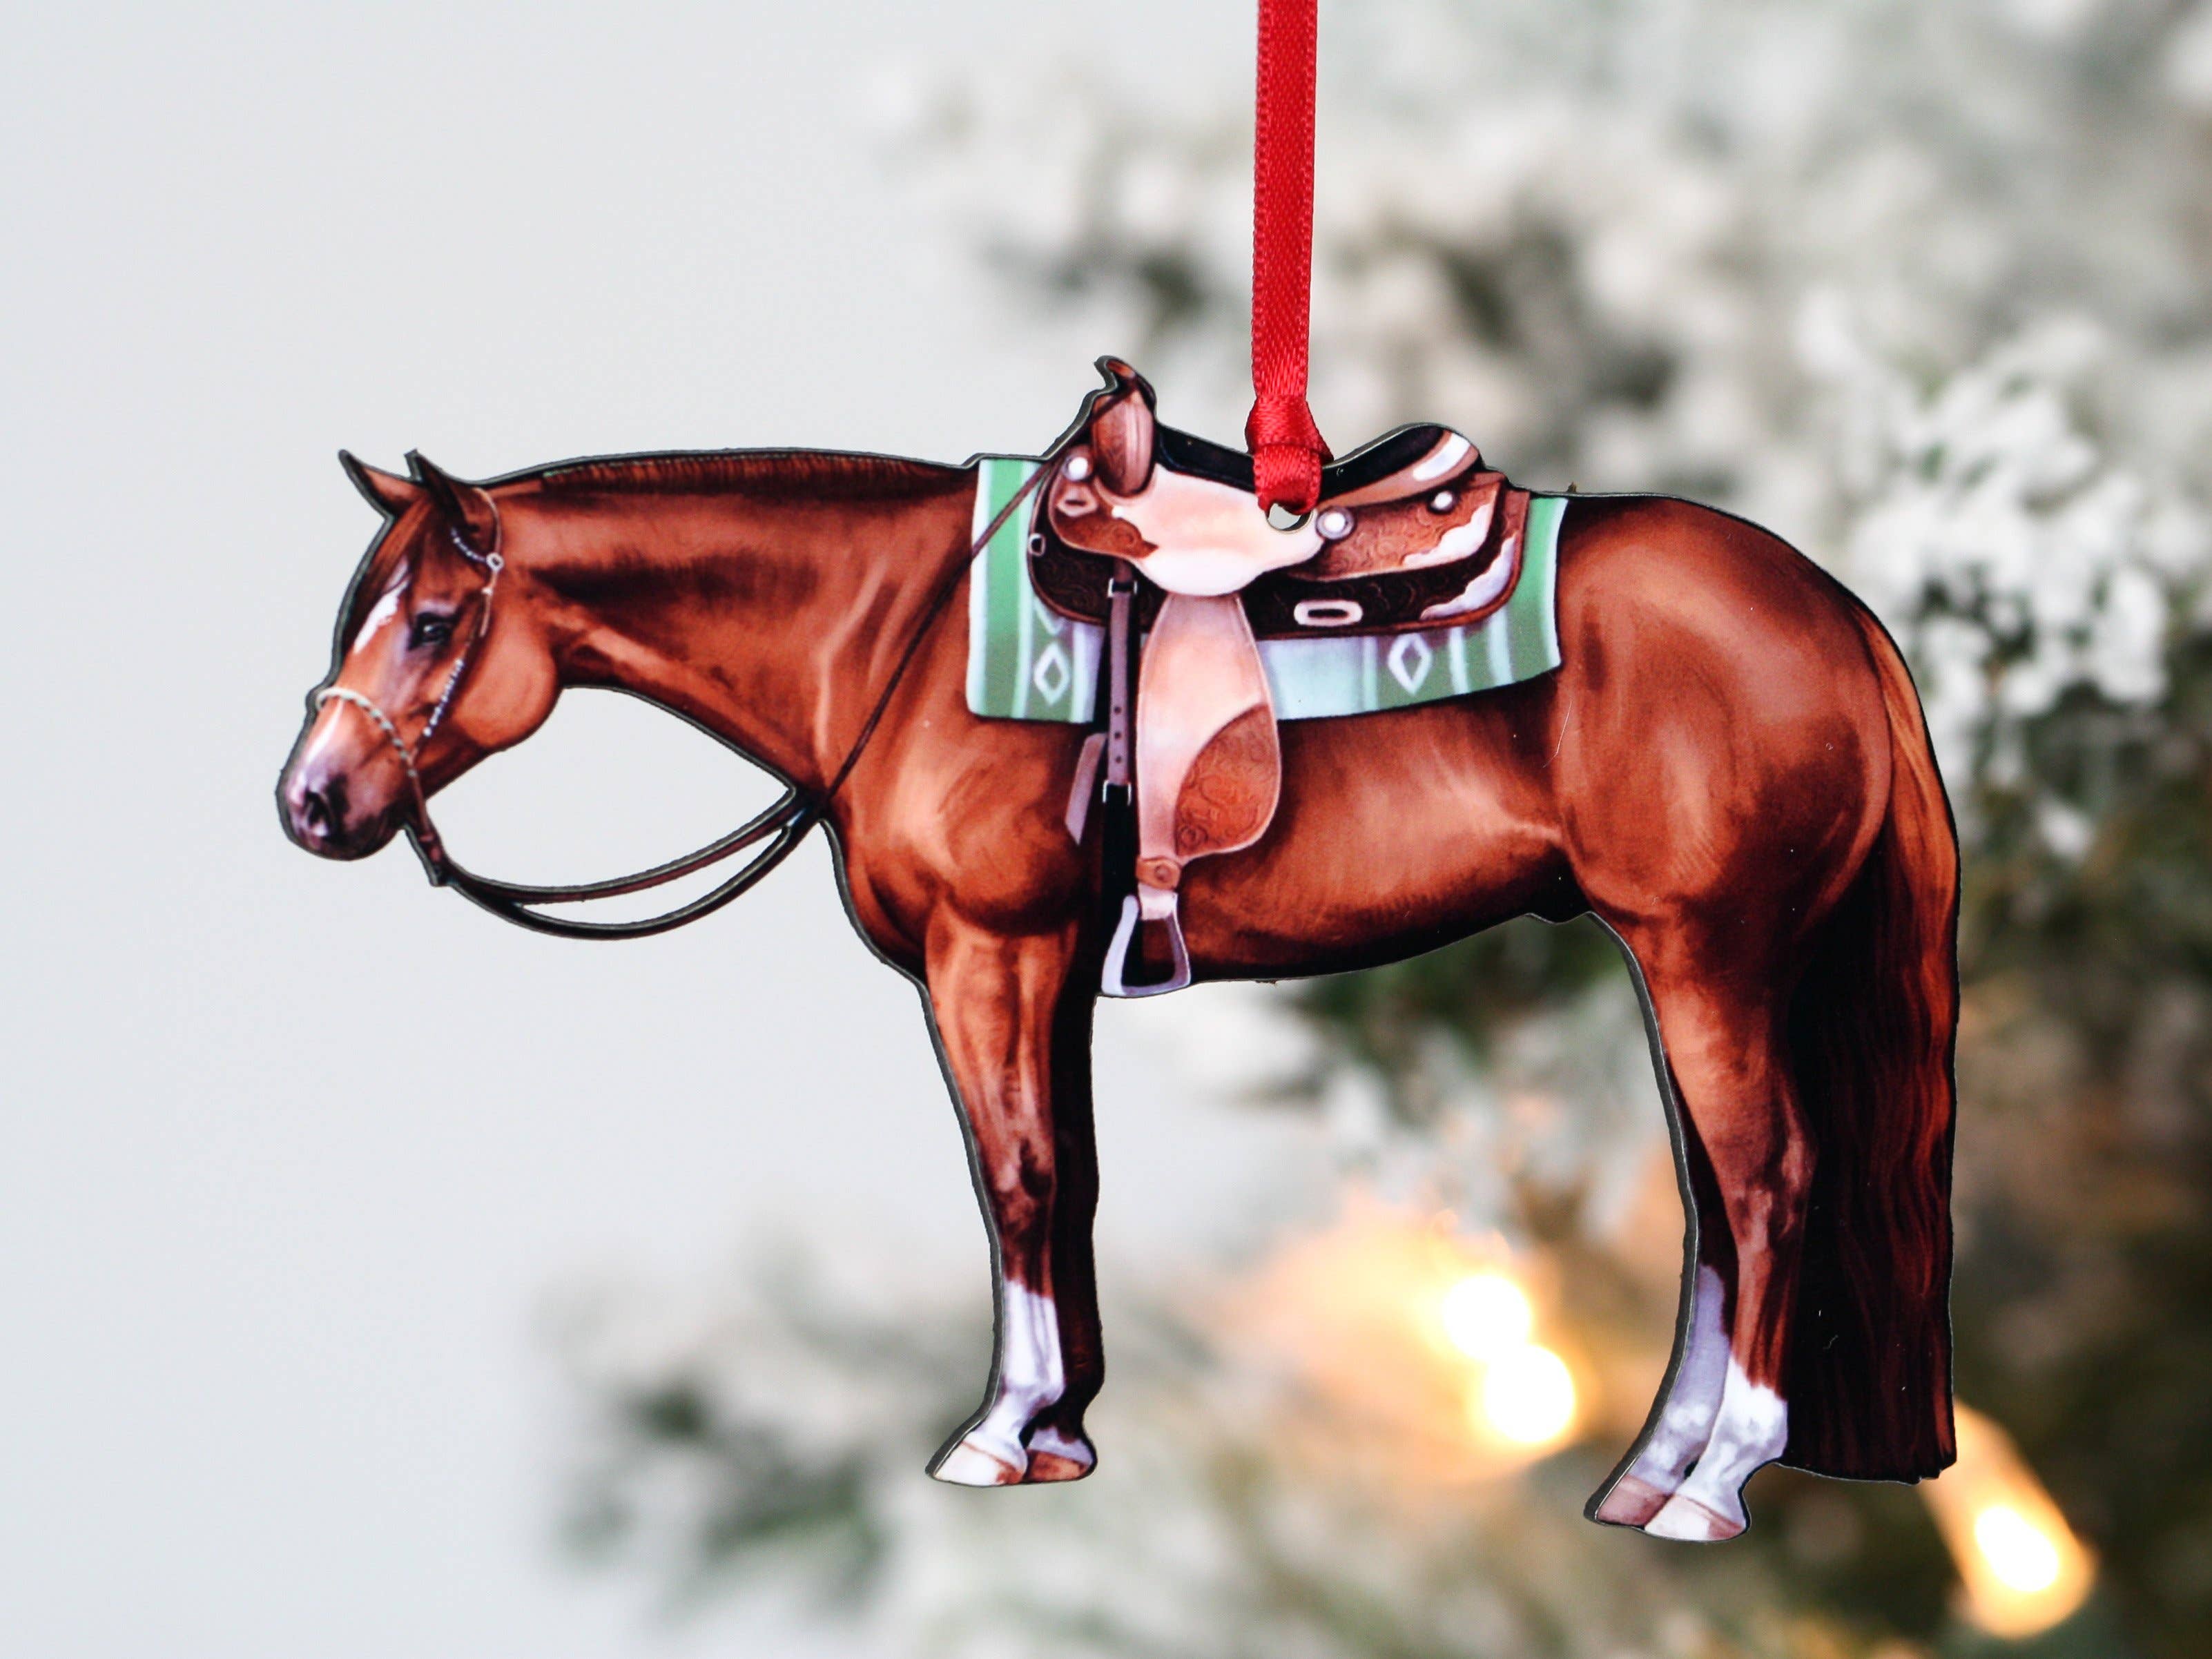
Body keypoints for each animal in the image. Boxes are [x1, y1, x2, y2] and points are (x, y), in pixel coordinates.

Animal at [276, 364, 1957, 1541]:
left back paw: (1714, 1479)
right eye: (363, 608)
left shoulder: (990, 950)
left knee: (1766, 1184)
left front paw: (999, 1432)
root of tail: (1833, 608)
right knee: (1713, 1217)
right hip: (1695, 965)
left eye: (430, 623)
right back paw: (1651, 1468)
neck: (894, 633)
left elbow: (1016, 1180)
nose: (309, 801)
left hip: (1708, 956)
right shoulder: (1041, 970)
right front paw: (1063, 1428)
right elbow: (1059, 1177)